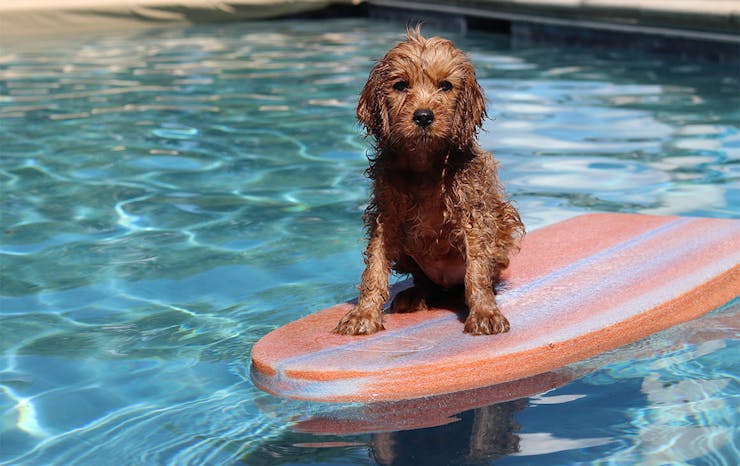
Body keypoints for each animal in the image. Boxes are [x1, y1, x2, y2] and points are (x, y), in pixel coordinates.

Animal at [336, 27, 528, 334]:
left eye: (445, 86)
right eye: (401, 85)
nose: (424, 116)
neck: (424, 162)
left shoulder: (472, 214)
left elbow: (476, 269)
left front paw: (485, 312)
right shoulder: (386, 215)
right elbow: (375, 267)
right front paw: (363, 314)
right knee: (424, 281)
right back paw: (415, 294)